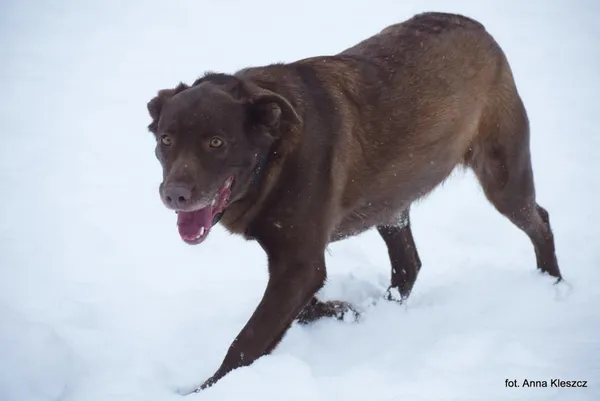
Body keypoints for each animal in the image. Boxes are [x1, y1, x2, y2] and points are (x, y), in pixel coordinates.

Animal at [145, 11, 564, 390]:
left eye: (216, 142)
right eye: (166, 139)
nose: (174, 194)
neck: (274, 154)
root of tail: (476, 25)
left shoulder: (299, 262)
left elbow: (249, 338)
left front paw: (205, 388)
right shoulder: (297, 260)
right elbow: (301, 307)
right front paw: (340, 311)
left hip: (503, 176)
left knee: (539, 219)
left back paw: (553, 284)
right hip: (388, 201)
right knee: (409, 265)